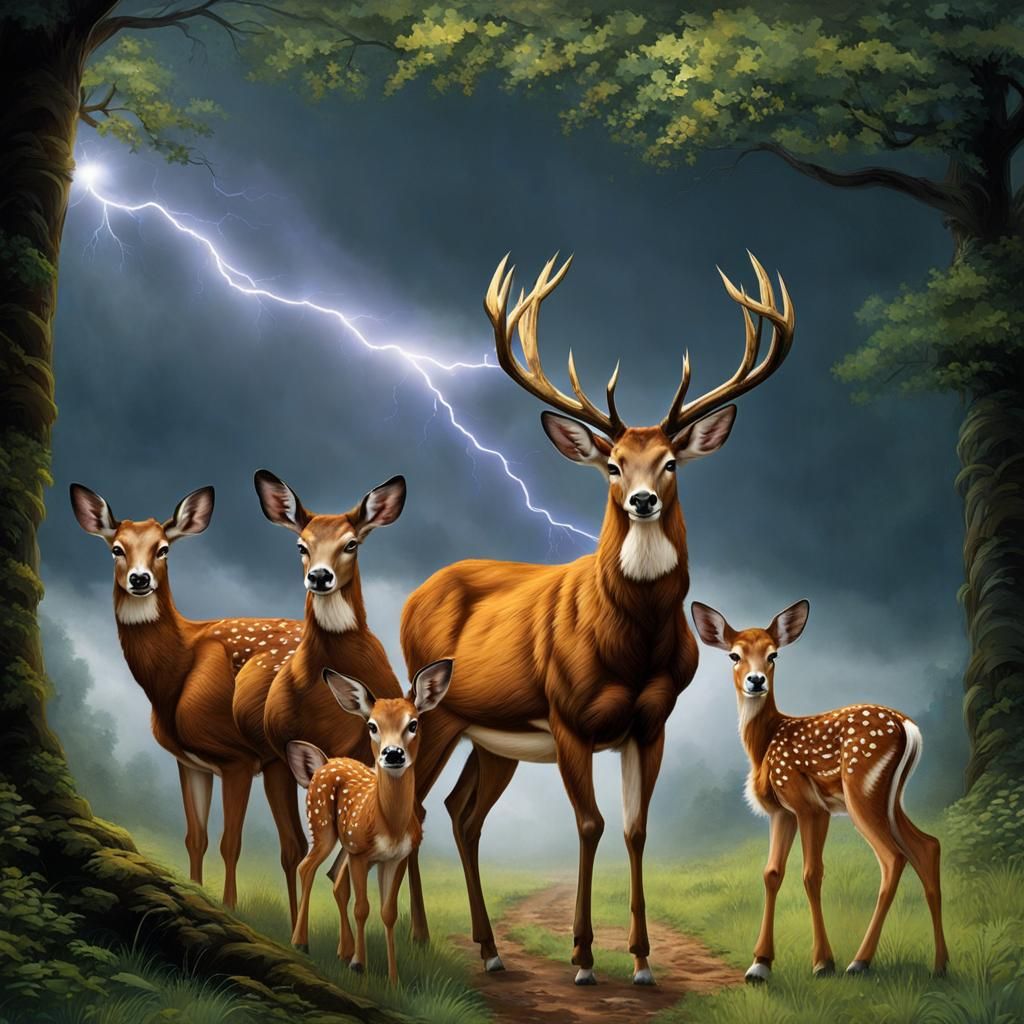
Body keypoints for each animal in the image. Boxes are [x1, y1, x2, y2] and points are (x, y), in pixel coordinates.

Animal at [69, 483, 306, 917]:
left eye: (163, 548)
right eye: (116, 548)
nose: (140, 578)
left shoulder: (237, 758)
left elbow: (231, 843)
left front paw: (228, 907)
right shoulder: (190, 761)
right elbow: (195, 838)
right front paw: (196, 893)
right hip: (280, 763)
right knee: (294, 845)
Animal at [285, 660, 453, 984]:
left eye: (413, 723)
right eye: (372, 726)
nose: (393, 753)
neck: (390, 826)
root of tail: (324, 763)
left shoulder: (397, 857)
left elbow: (388, 913)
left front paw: (393, 979)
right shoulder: (361, 852)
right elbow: (362, 907)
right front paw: (359, 966)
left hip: (344, 845)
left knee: (335, 879)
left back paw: (342, 950)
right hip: (323, 826)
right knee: (306, 867)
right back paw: (300, 942)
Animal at [398, 251, 796, 985]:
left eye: (669, 463)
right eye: (612, 464)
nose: (641, 500)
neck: (630, 646)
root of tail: (415, 594)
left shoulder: (651, 721)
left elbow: (636, 829)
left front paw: (641, 960)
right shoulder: (568, 716)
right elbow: (590, 825)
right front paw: (583, 957)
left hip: (491, 737)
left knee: (461, 814)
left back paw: (490, 950)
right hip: (434, 711)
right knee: (412, 800)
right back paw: (417, 935)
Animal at [690, 599, 948, 983]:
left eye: (774, 654)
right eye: (734, 655)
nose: (756, 680)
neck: (764, 744)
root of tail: (908, 726)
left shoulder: (810, 805)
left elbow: (811, 874)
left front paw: (823, 962)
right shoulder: (781, 811)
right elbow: (771, 873)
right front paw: (760, 965)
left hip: (861, 790)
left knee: (893, 857)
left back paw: (859, 961)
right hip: (890, 797)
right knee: (927, 846)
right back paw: (941, 965)